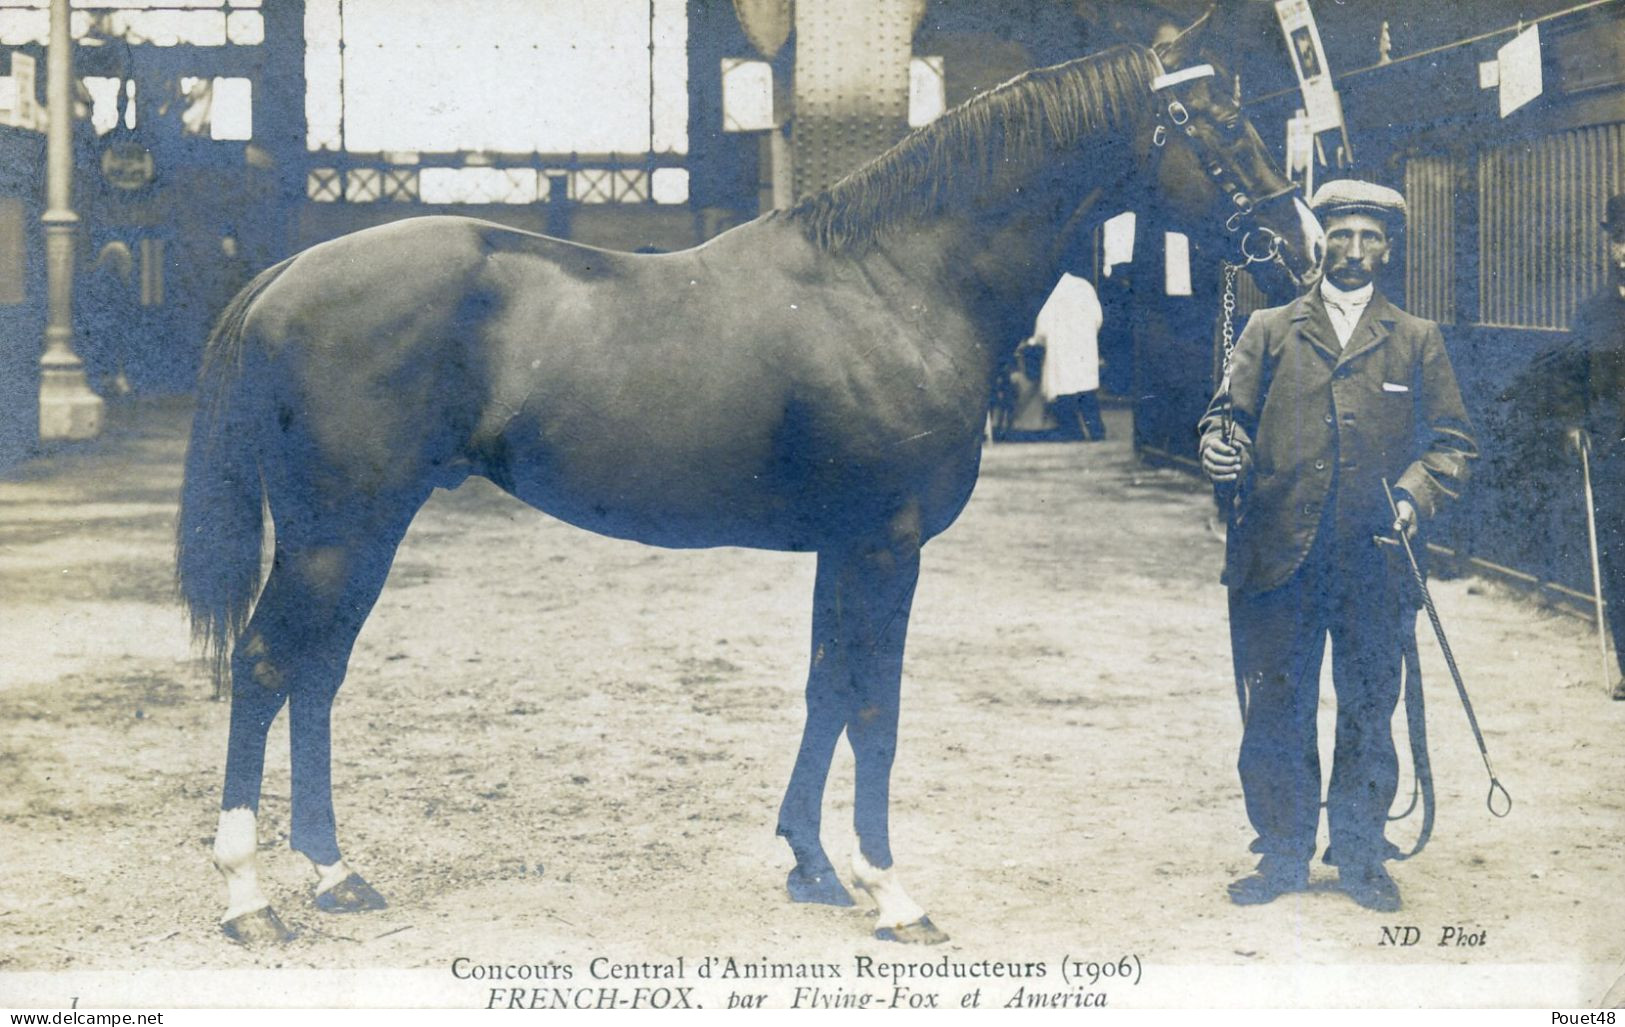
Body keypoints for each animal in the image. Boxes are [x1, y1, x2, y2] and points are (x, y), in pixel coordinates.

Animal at [174, 12, 1319, 949]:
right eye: (1219, 122)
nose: (1300, 248)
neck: (896, 282)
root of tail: (286, 273)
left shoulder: (842, 547)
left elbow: (823, 688)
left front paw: (810, 864)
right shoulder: (885, 546)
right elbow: (874, 706)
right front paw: (892, 891)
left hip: (364, 532)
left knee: (318, 676)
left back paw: (335, 873)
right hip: (335, 532)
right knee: (269, 666)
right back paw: (248, 897)